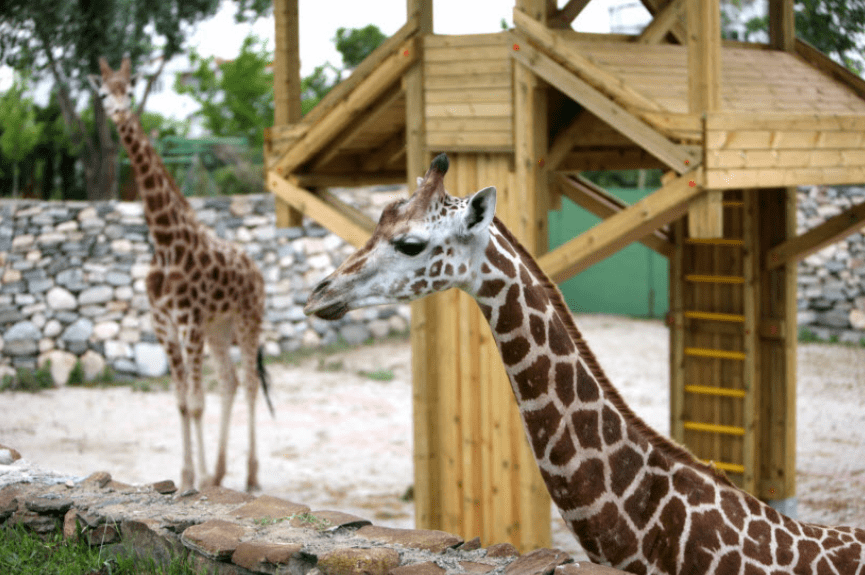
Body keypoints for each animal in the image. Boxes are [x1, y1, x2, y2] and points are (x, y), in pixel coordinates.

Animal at [89, 57, 272, 490]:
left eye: (129, 89)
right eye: (103, 93)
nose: (119, 112)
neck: (166, 241)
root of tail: (256, 269)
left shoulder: (188, 322)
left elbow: (196, 403)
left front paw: (198, 480)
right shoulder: (164, 325)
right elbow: (180, 403)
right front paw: (189, 476)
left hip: (247, 319)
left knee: (249, 385)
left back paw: (250, 475)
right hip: (219, 328)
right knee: (230, 381)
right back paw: (221, 471)